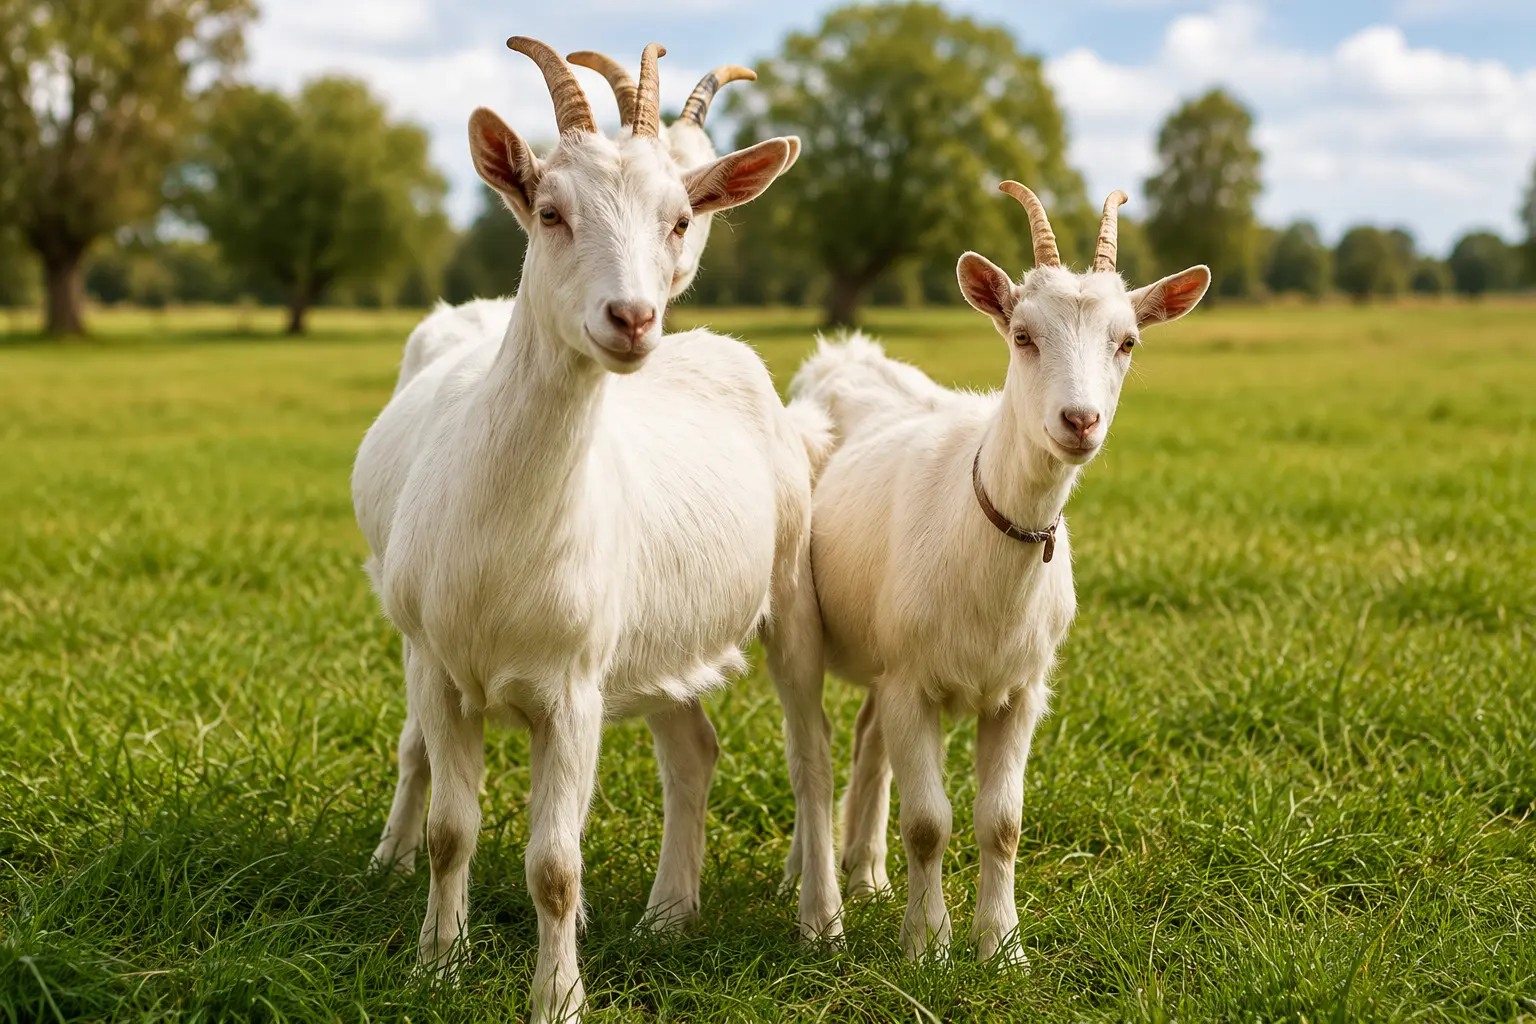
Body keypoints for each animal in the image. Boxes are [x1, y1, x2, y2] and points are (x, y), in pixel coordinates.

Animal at [352, 39, 840, 1022]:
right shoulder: (440, 668)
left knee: (810, 754)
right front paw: (437, 966)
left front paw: (558, 997)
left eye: (681, 215)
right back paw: (668, 917)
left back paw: (821, 925)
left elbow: (554, 865)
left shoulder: (572, 687)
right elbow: (453, 830)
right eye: (550, 211)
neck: (503, 531)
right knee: (694, 750)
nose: (633, 317)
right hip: (660, 637)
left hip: (791, 597)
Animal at [787, 182, 1210, 962]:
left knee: (866, 739)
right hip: (803, 623)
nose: (1080, 421)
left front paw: (1001, 946)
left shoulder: (1019, 689)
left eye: (1127, 342)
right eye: (1022, 335)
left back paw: (866, 875)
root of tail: (843, 355)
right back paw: (813, 894)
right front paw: (928, 947)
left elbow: (1003, 822)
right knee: (812, 757)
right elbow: (929, 822)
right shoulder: (914, 683)